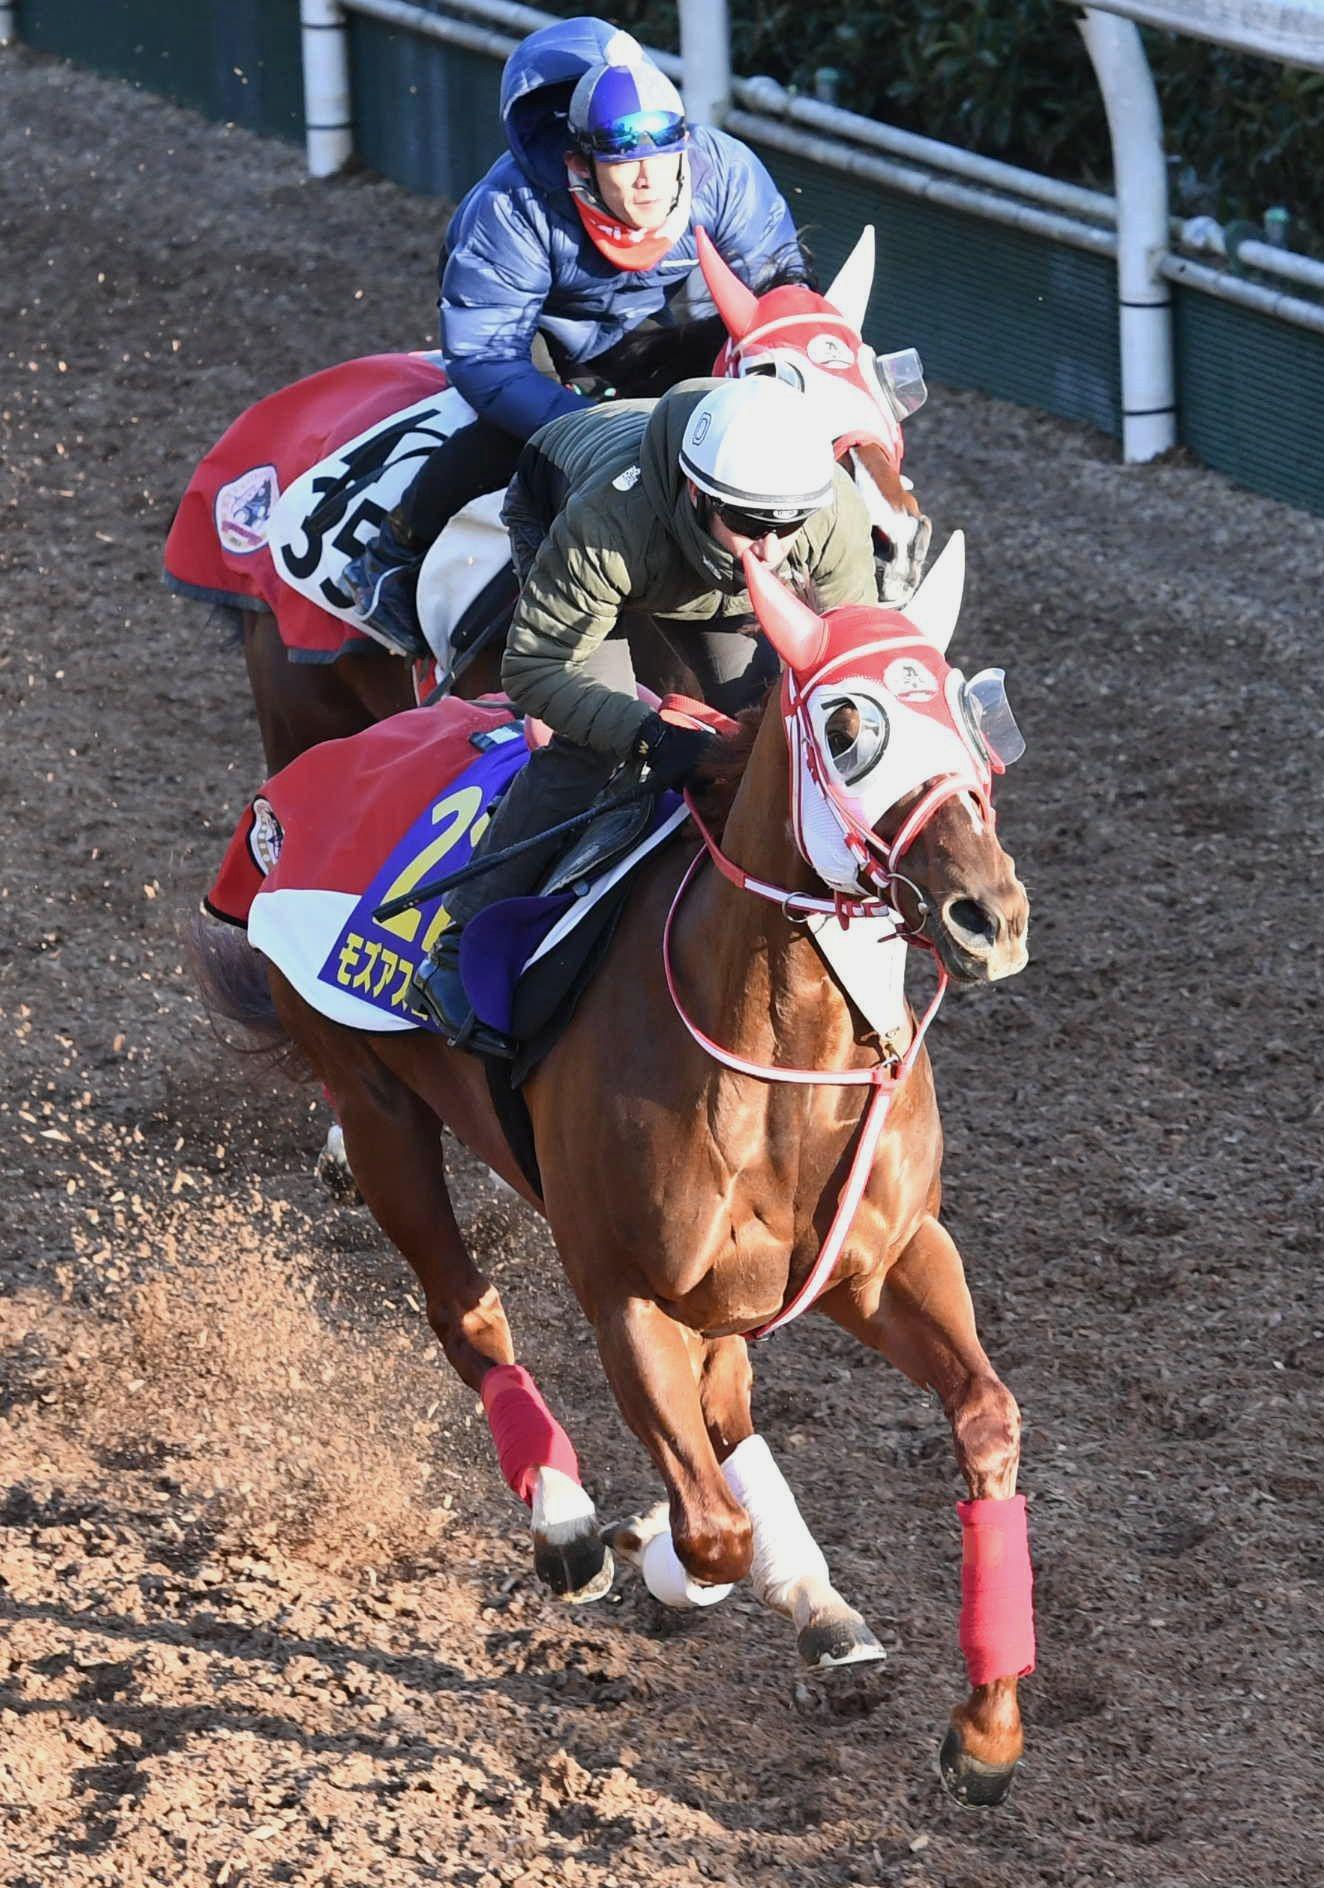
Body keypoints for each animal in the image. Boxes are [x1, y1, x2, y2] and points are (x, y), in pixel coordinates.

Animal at [196, 539, 1035, 1804]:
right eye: (845, 724)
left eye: (968, 719)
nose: (987, 913)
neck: (791, 1057)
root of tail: (288, 805)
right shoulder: (625, 1292)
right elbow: (705, 1531)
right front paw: (644, 1548)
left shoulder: (884, 1261)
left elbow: (983, 1417)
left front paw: (983, 1732)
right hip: (377, 1104)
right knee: (467, 1311)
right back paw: (569, 1524)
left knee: (728, 1398)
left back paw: (815, 1603)